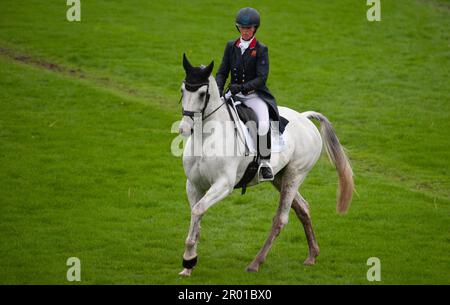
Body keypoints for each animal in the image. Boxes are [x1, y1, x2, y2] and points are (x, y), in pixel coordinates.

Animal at [178, 54, 354, 276]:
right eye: (183, 90)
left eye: (202, 94)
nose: (184, 128)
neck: (207, 137)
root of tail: (304, 118)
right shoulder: (193, 185)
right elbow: (196, 217)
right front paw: (189, 264)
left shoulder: (223, 185)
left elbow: (198, 211)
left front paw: (188, 258)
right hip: (279, 177)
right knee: (303, 208)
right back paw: (312, 255)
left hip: (295, 174)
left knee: (281, 219)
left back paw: (255, 263)